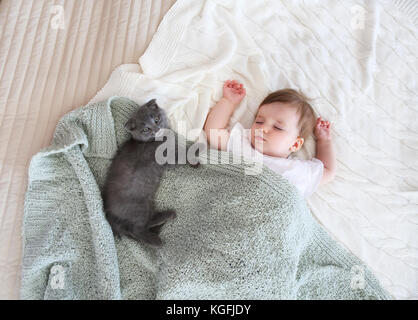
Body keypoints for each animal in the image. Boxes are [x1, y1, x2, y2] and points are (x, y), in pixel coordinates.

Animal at [103, 99, 202, 246]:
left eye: (156, 119)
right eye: (146, 129)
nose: (157, 129)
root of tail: (110, 215)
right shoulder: (166, 157)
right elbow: (181, 156)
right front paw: (196, 153)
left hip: (147, 204)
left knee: (145, 223)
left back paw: (166, 217)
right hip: (138, 207)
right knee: (137, 230)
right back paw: (157, 240)